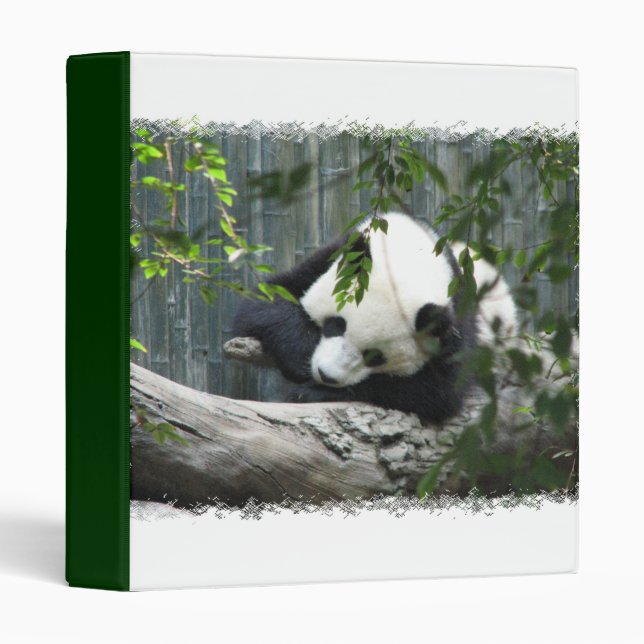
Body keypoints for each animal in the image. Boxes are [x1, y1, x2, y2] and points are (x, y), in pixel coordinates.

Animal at [233, 213, 517, 423]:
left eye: (375, 356)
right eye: (335, 325)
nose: (326, 375)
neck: (410, 258)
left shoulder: (453, 322)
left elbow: (435, 392)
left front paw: (310, 392)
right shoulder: (325, 260)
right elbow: (265, 301)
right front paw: (301, 357)